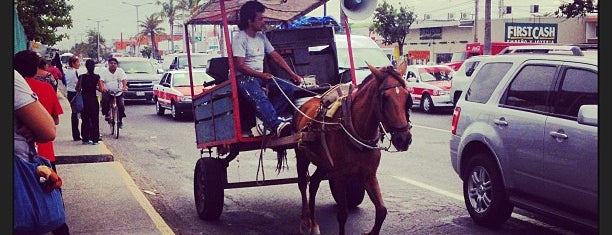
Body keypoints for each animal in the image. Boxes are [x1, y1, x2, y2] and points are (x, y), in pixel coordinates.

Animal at [294, 61, 414, 234]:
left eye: (407, 97)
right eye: (385, 98)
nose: (404, 139)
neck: (355, 129)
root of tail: (304, 104)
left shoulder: (368, 174)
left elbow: (382, 210)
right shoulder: (339, 175)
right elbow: (342, 214)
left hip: (324, 163)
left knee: (314, 183)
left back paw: (315, 223)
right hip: (301, 155)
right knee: (303, 183)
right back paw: (305, 221)